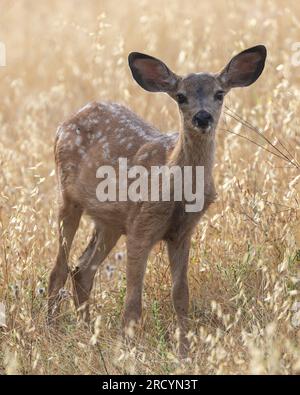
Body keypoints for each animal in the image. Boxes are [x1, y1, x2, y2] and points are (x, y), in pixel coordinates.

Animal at [48, 44, 268, 358]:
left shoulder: (182, 232)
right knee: (59, 269)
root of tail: (65, 123)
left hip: (110, 222)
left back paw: (90, 335)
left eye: (219, 93)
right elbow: (133, 303)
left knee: (82, 269)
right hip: (69, 199)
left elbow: (181, 295)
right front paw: (127, 353)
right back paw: (51, 330)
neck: (177, 190)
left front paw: (184, 351)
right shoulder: (142, 226)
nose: (202, 117)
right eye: (181, 96)